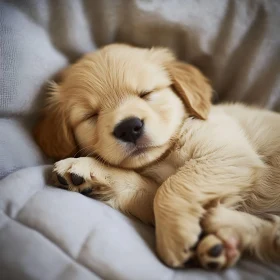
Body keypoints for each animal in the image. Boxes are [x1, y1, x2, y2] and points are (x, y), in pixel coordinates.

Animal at [33, 44, 280, 270]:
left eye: (147, 94)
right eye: (91, 115)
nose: (128, 127)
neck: (164, 156)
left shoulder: (226, 152)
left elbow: (174, 184)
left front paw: (175, 235)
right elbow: (146, 190)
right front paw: (83, 170)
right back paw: (221, 237)